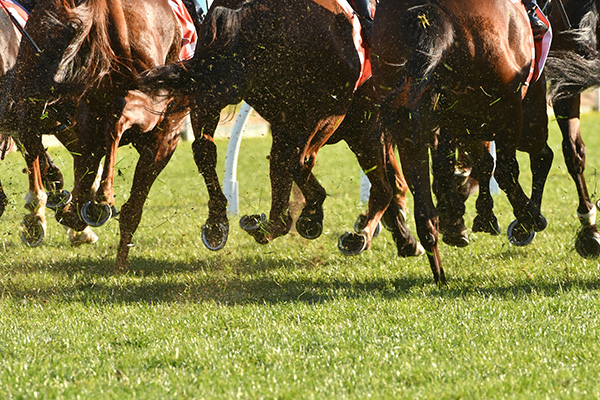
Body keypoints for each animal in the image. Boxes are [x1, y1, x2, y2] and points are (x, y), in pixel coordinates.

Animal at [372, 0, 552, 284]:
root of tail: (430, 14)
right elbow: (512, 164)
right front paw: (515, 218)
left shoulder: (455, 122)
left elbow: (464, 165)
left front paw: (466, 216)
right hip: (507, 110)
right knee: (516, 167)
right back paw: (527, 218)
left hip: (409, 129)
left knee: (424, 211)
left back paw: (439, 272)